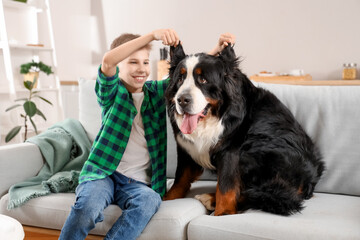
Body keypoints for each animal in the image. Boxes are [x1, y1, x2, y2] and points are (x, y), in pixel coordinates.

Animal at [162, 42, 324, 216]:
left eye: (203, 80)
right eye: (180, 78)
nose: (182, 100)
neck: (215, 117)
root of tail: (310, 179)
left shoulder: (231, 151)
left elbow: (226, 186)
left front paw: (223, 213)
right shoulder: (186, 149)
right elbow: (180, 178)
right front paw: (167, 200)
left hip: (257, 147)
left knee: (264, 195)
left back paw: (210, 199)